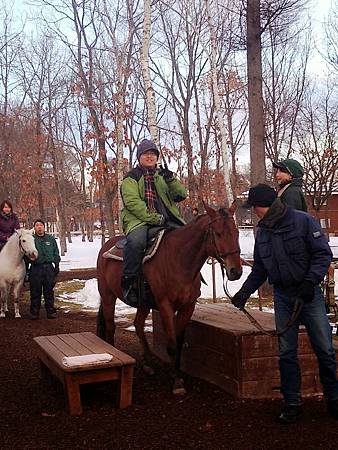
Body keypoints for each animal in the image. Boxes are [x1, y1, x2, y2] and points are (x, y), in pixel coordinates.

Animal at [96, 203, 242, 394]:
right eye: (218, 233)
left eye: (237, 232)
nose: (236, 271)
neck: (180, 260)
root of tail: (106, 245)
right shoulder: (165, 306)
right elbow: (171, 345)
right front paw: (177, 383)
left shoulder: (188, 306)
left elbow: (179, 343)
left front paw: (178, 374)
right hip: (108, 296)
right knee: (110, 327)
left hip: (143, 303)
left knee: (138, 324)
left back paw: (148, 364)